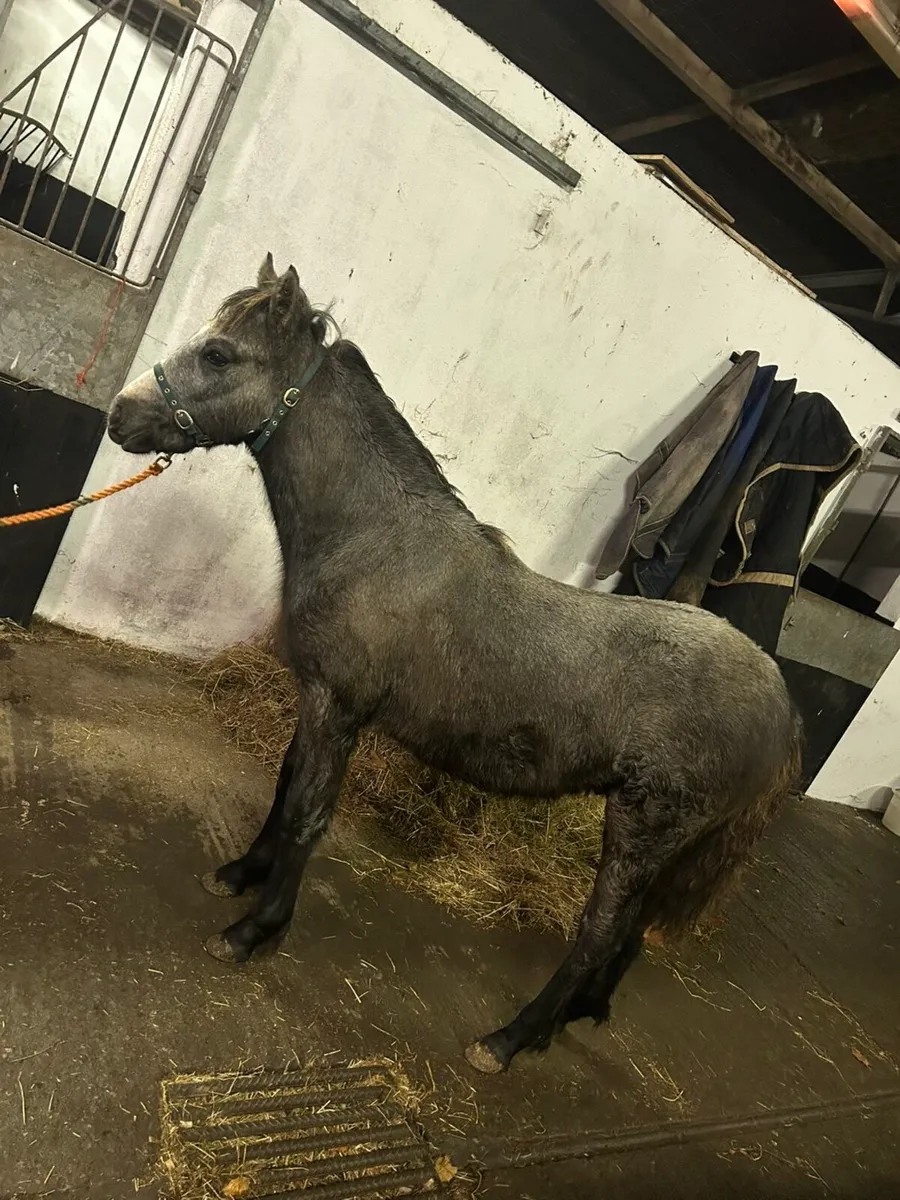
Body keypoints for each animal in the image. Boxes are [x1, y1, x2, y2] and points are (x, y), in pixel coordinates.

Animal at [107, 255, 802, 1074]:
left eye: (218, 354)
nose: (121, 416)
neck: (377, 540)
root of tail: (779, 701)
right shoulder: (319, 698)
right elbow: (285, 784)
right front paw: (240, 874)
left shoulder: (338, 706)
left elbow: (309, 813)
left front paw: (255, 930)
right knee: (629, 932)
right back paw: (575, 1016)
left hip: (643, 827)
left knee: (601, 928)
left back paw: (509, 1039)